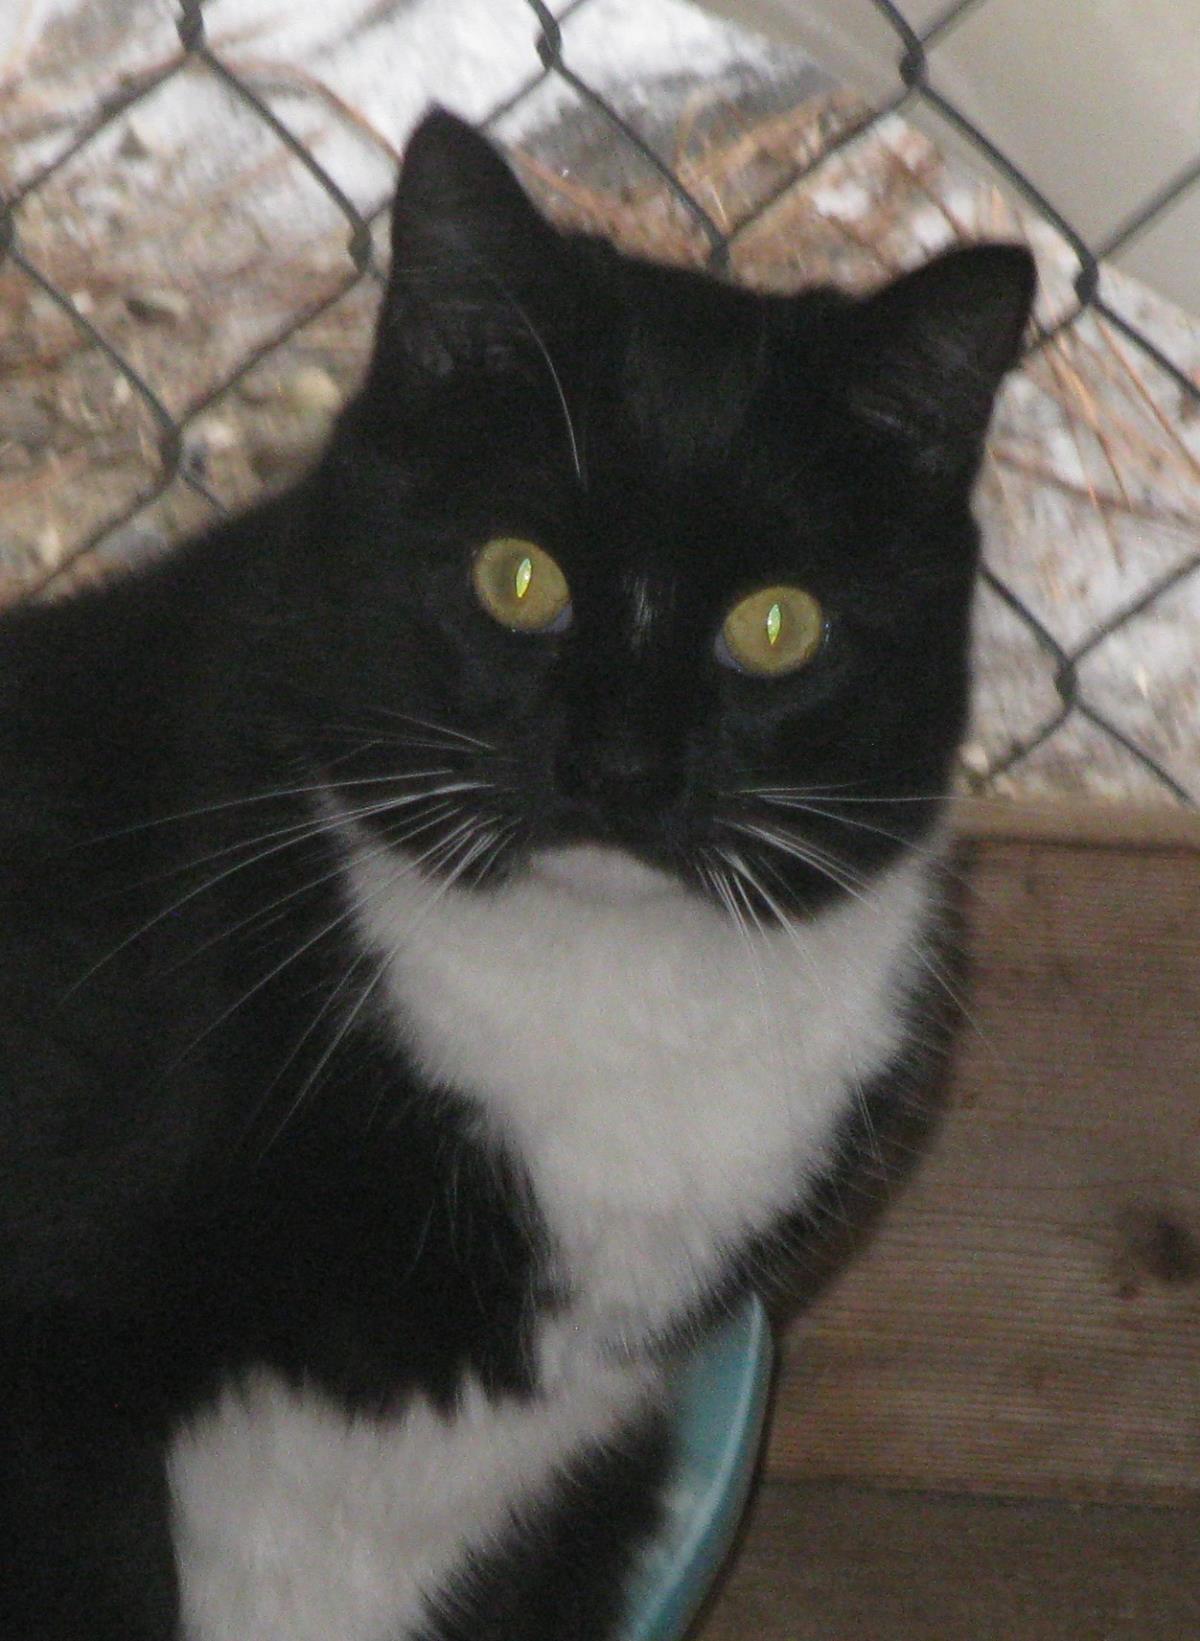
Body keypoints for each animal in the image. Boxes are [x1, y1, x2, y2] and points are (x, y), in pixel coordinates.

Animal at [0, 109, 1030, 1634]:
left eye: (776, 626)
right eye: (517, 577)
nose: (620, 768)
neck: (609, 990)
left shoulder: (565, 1484)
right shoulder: (55, 1353)